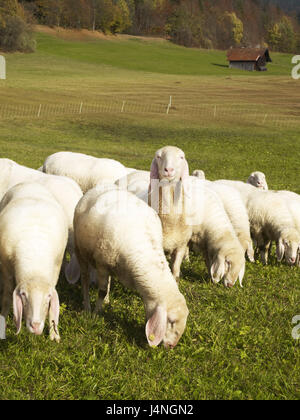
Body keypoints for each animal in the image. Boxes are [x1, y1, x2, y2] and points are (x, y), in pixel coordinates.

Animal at [0, 183, 68, 342]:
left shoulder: (56, 269)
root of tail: (29, 183)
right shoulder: (6, 270)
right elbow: (6, 298)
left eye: (48, 296)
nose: (36, 327)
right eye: (23, 294)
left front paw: (54, 334)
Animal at [73, 186, 189, 348]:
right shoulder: (102, 264)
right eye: (171, 321)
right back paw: (87, 306)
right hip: (80, 250)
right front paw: (96, 314)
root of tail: (100, 187)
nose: (171, 346)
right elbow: (101, 291)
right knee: (84, 278)